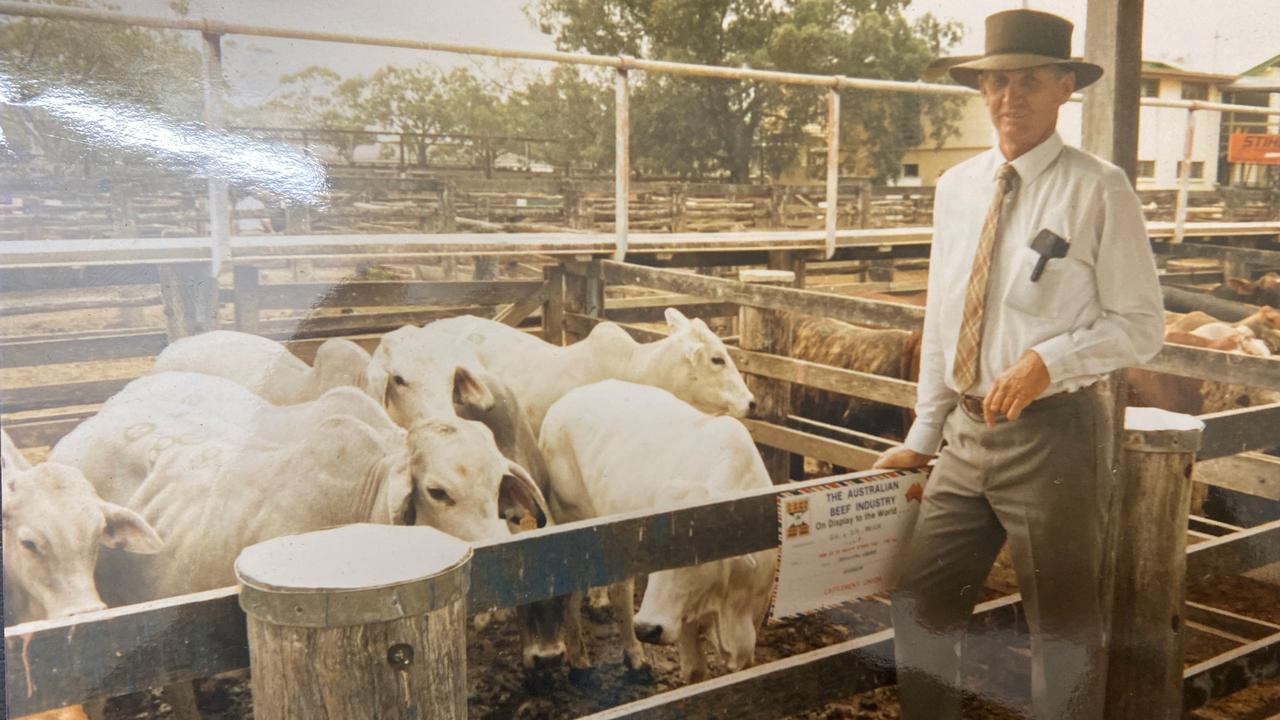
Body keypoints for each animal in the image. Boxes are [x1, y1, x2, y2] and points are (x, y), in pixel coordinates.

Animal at [537, 379, 773, 681]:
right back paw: (585, 660)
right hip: (571, 520)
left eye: (695, 554)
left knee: (617, 588)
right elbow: (696, 673)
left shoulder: (758, 608)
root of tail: (563, 402)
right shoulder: (684, 621)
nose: (648, 628)